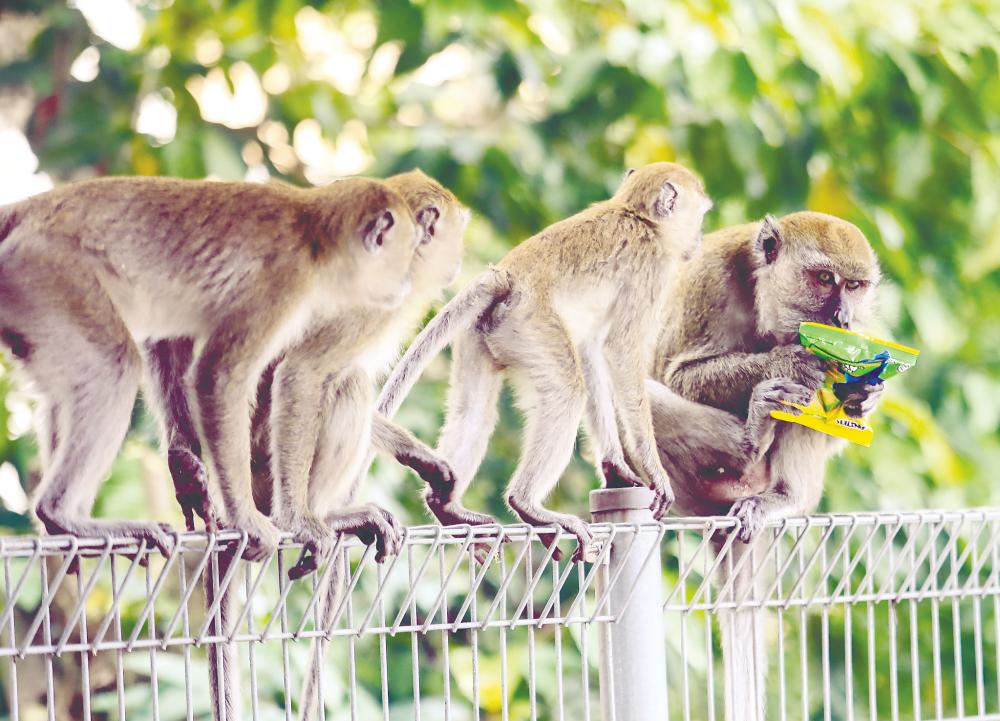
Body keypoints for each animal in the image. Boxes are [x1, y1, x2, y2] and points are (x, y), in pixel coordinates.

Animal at [0, 175, 419, 567]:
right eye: (408, 248)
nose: (406, 282)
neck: (315, 235)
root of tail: (29, 208)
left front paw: (188, 468)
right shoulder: (284, 283)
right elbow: (219, 376)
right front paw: (258, 519)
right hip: (50, 272)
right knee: (113, 367)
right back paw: (61, 515)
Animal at [374, 162, 714, 562]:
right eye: (700, 215)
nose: (698, 240)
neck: (636, 215)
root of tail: (507, 274)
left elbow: (590, 350)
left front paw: (615, 467)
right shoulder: (652, 269)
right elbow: (619, 351)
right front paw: (653, 472)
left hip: (480, 333)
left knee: (474, 411)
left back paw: (447, 506)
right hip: (530, 323)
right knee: (567, 391)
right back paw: (526, 504)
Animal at [645, 211, 884, 721]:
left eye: (854, 285)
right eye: (824, 279)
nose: (843, 318)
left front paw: (865, 394)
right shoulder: (710, 280)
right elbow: (676, 375)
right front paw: (791, 361)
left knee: (801, 415)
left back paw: (783, 498)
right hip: (687, 488)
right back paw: (751, 440)